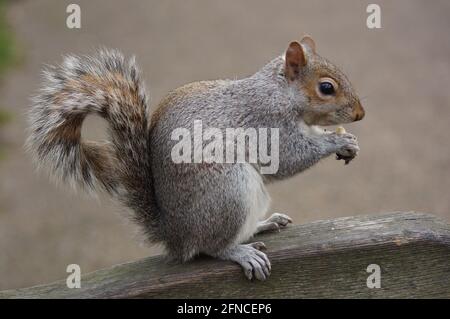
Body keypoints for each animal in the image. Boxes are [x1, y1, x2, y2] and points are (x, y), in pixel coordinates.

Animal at [27, 36, 366, 282]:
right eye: (326, 88)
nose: (360, 114)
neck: (279, 92)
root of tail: (174, 234)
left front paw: (348, 142)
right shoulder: (266, 122)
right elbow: (288, 157)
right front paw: (336, 140)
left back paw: (265, 223)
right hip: (228, 191)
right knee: (211, 247)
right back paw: (241, 253)